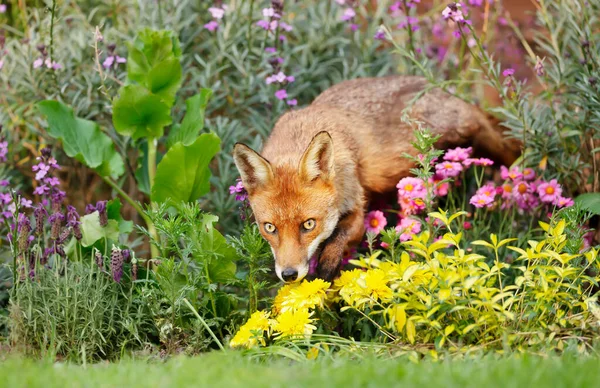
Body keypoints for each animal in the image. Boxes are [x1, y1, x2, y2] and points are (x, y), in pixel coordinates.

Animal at [232, 75, 516, 282]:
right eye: (270, 228)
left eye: (309, 224)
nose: (289, 275)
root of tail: (437, 85)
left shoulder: (357, 207)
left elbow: (338, 239)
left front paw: (326, 270)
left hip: (468, 131)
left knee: (503, 143)